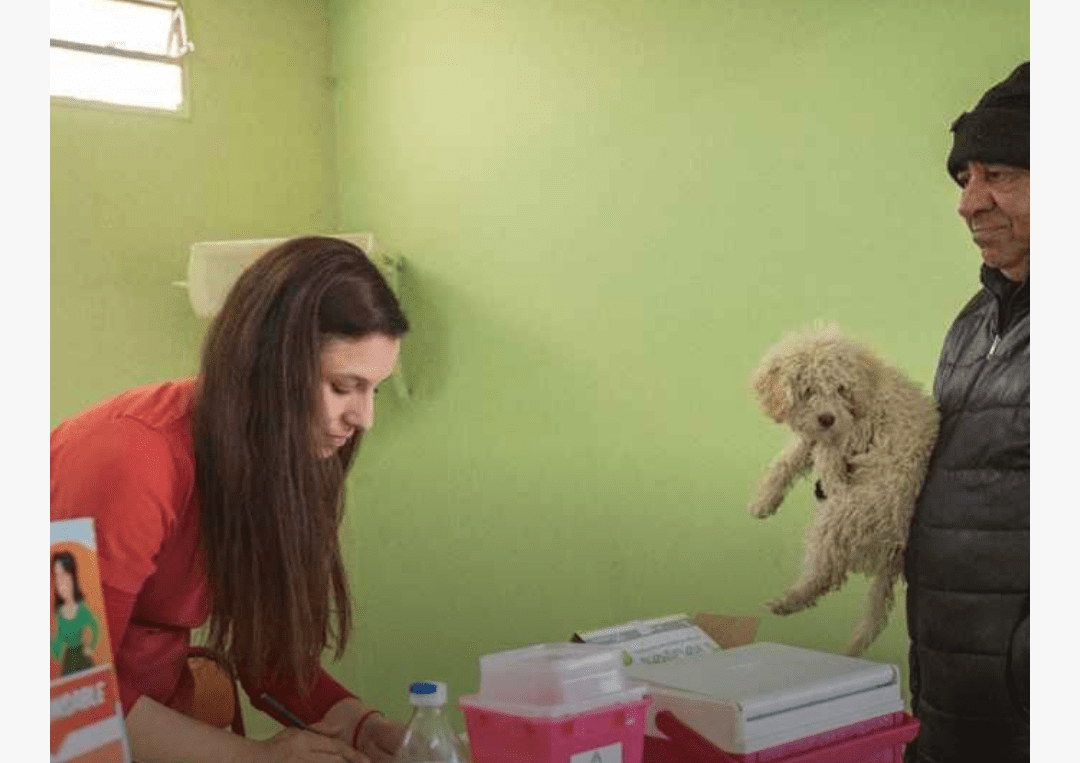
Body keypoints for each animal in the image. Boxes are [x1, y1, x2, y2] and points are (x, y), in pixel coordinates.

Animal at [747, 322, 941, 652]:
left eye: (840, 389)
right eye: (807, 391)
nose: (827, 418)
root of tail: (894, 549)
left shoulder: (853, 431)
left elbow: (825, 454)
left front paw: (831, 479)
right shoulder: (815, 434)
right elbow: (790, 458)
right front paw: (764, 500)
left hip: (843, 518)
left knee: (828, 573)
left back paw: (790, 599)